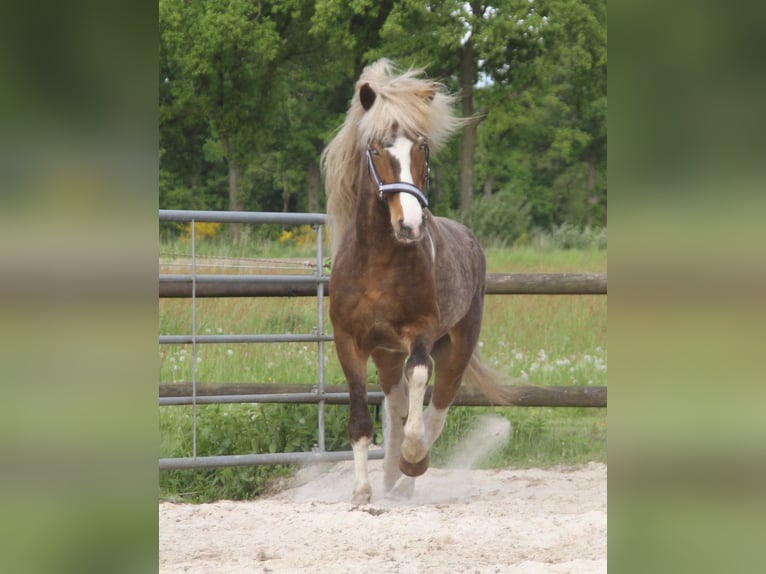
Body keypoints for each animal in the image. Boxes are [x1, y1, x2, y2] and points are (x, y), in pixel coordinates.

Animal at [322, 59, 512, 505]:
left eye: (421, 148)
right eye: (376, 149)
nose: (409, 224)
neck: (378, 264)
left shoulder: (421, 334)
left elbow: (420, 388)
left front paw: (412, 458)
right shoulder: (350, 343)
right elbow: (362, 418)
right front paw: (361, 492)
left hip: (458, 347)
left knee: (435, 411)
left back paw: (407, 477)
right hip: (387, 355)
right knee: (395, 407)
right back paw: (390, 479)